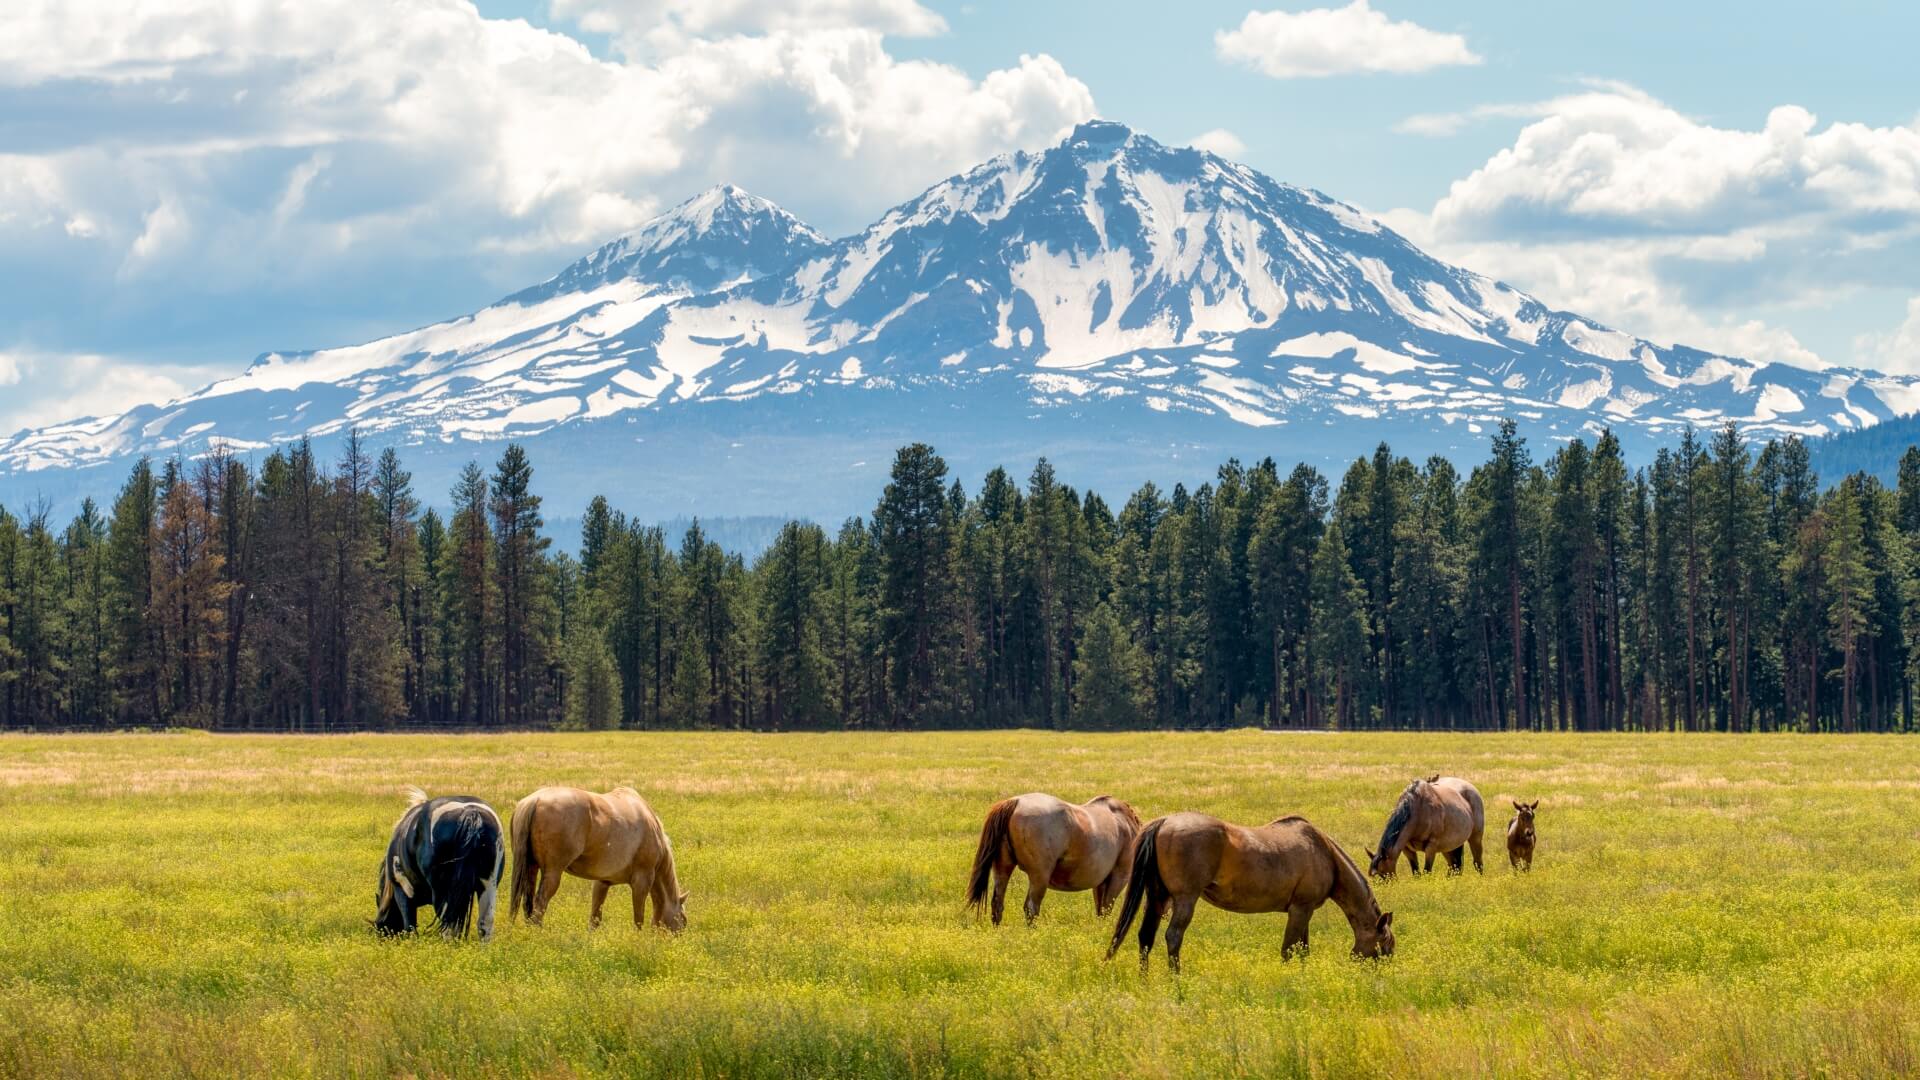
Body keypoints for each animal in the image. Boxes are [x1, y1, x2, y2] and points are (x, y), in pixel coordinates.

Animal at [373, 788, 505, 940]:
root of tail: (471, 813)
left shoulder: (402, 891)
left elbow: (410, 927)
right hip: (488, 885)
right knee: (485, 923)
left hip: (443, 892)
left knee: (448, 926)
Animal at [510, 786, 688, 931]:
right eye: (683, 921)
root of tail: (536, 800)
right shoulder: (642, 881)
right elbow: (638, 919)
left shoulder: (602, 882)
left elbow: (595, 919)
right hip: (553, 873)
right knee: (539, 905)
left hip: (531, 868)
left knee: (527, 904)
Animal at [966, 793, 1142, 925]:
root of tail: (1016, 802)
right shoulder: (1119, 877)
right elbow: (1105, 909)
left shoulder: (1100, 882)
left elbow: (1100, 910)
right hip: (1039, 877)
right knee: (1031, 908)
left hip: (1003, 868)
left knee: (997, 904)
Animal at [1105, 812, 1393, 973]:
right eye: (1385, 944)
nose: (1382, 973)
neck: (1324, 853)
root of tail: (1164, 822)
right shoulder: (1300, 909)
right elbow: (1289, 949)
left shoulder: (1305, 911)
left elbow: (1303, 949)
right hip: (1185, 899)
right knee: (1173, 937)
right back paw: (1176, 980)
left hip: (1157, 896)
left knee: (1146, 936)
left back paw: (1145, 980)